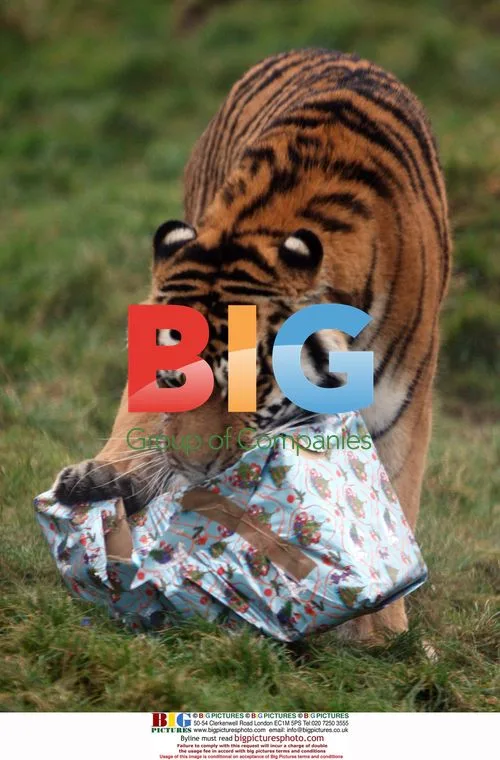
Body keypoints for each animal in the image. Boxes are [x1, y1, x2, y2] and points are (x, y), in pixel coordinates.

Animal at [54, 49, 451, 643]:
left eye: (247, 382)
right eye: (174, 379)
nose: (195, 468)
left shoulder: (400, 404)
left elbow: (397, 494)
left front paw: (381, 631)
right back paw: (95, 479)